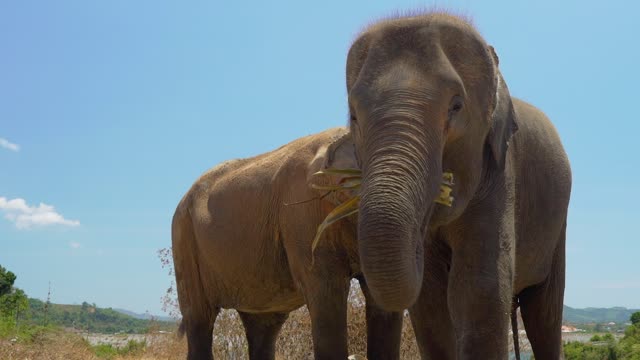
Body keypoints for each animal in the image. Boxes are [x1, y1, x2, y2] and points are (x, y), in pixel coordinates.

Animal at [344, 11, 576, 360]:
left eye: (456, 106)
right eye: (354, 116)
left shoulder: (498, 167)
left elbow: (479, 288)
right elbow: (430, 302)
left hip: (557, 223)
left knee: (544, 313)